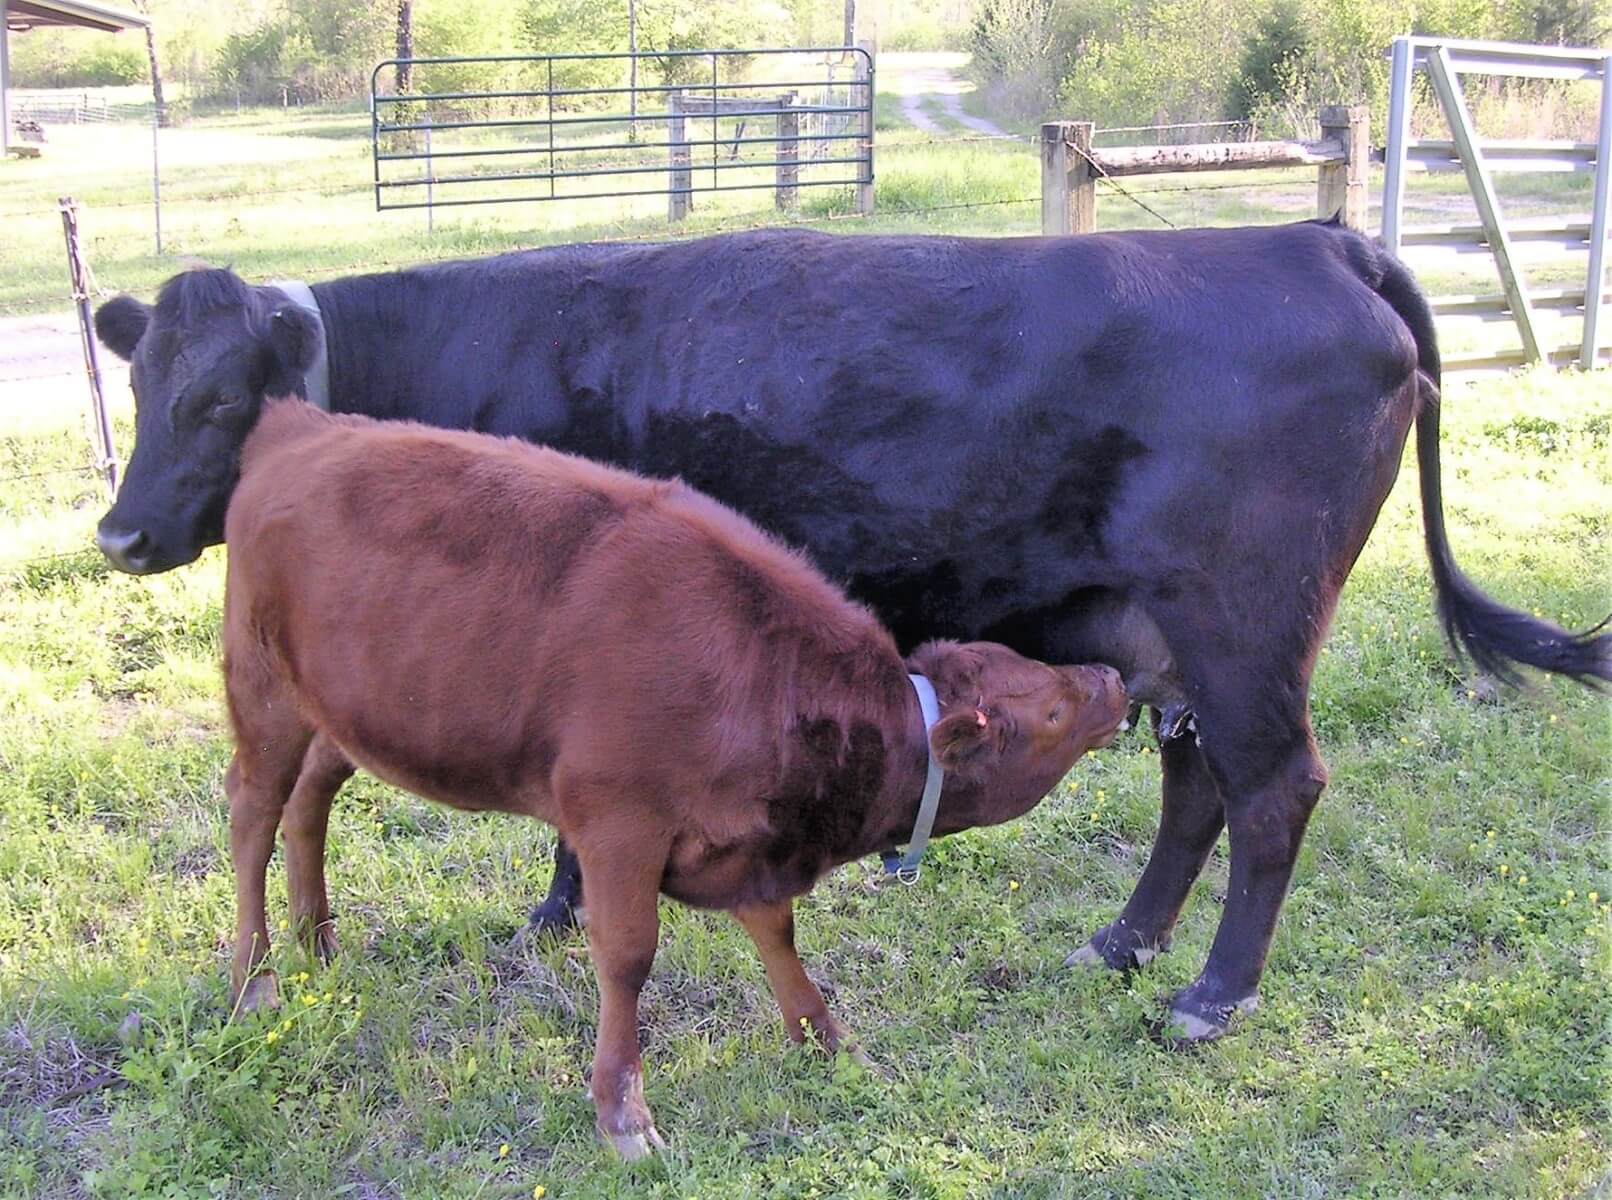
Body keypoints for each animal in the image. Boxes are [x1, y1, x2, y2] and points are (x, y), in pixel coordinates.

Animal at [91, 224, 1611, 1042]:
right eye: (144, 385)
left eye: (221, 400)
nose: (118, 537)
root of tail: (1311, 237)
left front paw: (554, 910)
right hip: (1165, 638)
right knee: (1199, 791)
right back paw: (1123, 944)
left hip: (1246, 628)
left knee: (1277, 791)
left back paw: (1212, 993)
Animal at [223, 398, 1129, 1156]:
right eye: (1051, 712)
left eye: (1034, 666)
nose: (1115, 680)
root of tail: (301, 423)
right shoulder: (617, 823)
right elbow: (628, 956)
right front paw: (623, 1114)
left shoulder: (751, 837)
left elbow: (776, 931)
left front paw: (825, 1039)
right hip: (261, 690)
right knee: (253, 814)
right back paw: (256, 980)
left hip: (344, 711)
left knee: (310, 801)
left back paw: (317, 938)